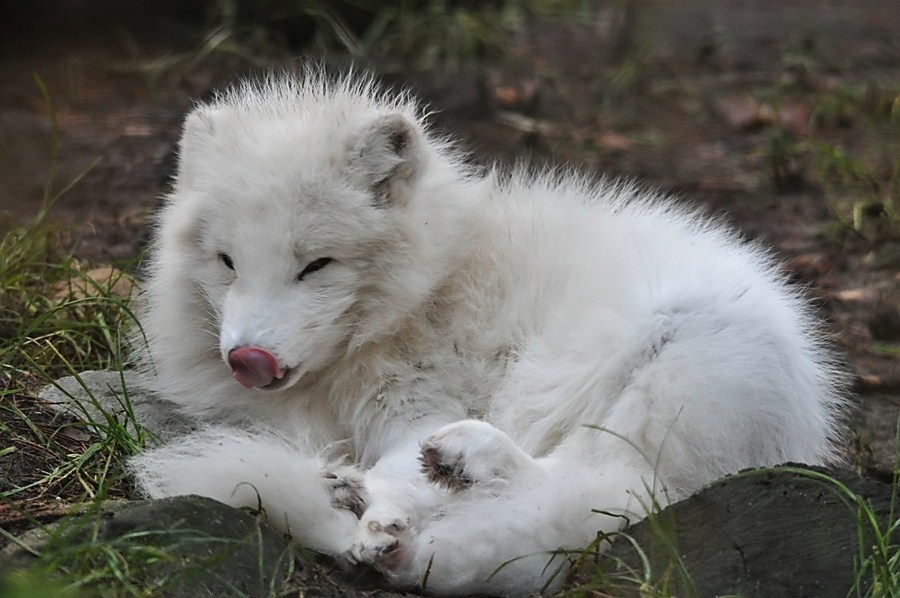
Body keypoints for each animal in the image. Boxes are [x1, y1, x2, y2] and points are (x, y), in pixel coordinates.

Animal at [130, 69, 848, 596]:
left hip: (655, 364)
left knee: (599, 488)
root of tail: (801, 432)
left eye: (316, 265)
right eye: (227, 261)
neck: (433, 281)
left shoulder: (422, 405)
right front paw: (363, 505)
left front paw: (380, 499)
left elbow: (399, 459)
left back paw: (452, 465)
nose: (247, 358)